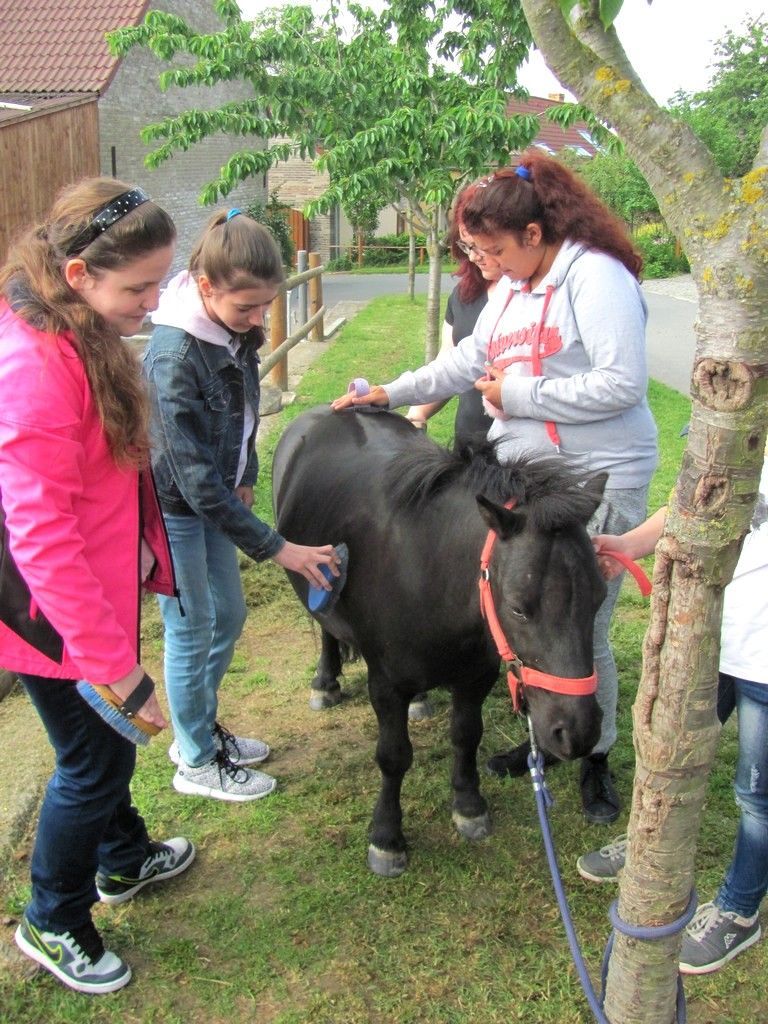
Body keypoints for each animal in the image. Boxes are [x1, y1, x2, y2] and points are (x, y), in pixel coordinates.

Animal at [272, 406, 607, 877]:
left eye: (600, 595)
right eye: (519, 608)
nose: (577, 732)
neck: (427, 567)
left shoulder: (475, 675)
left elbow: (466, 734)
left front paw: (468, 805)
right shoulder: (386, 684)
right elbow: (393, 756)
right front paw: (386, 836)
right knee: (324, 626)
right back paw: (326, 680)